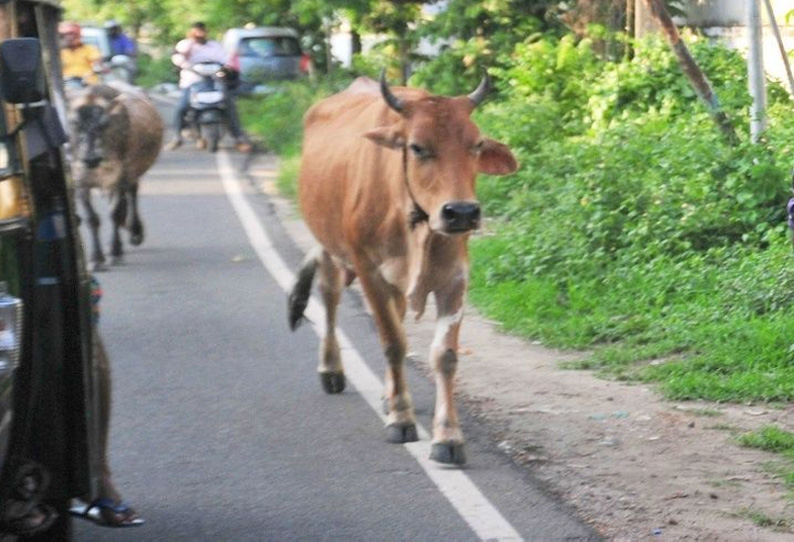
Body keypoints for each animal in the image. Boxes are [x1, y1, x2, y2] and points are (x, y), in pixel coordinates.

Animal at [288, 71, 516, 464]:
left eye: (476, 144)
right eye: (418, 147)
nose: (462, 212)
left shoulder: (455, 278)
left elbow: (445, 356)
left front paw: (448, 437)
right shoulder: (369, 271)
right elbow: (393, 343)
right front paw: (400, 418)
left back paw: (387, 393)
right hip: (331, 249)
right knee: (330, 298)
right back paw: (332, 370)